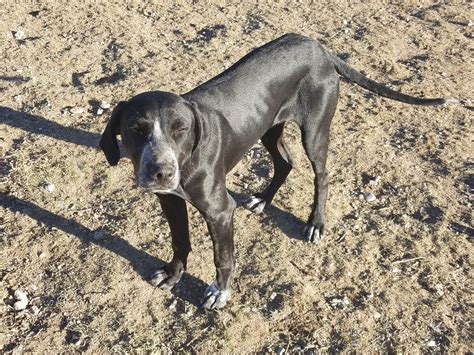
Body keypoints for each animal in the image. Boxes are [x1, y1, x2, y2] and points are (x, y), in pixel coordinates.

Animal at [99, 32, 444, 308]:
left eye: (180, 129)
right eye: (135, 129)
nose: (161, 172)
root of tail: (318, 47)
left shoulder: (220, 211)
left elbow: (223, 257)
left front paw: (219, 292)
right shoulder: (169, 199)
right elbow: (179, 239)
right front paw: (173, 273)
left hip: (314, 131)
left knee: (322, 175)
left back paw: (315, 223)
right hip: (268, 127)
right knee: (285, 163)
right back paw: (263, 199)